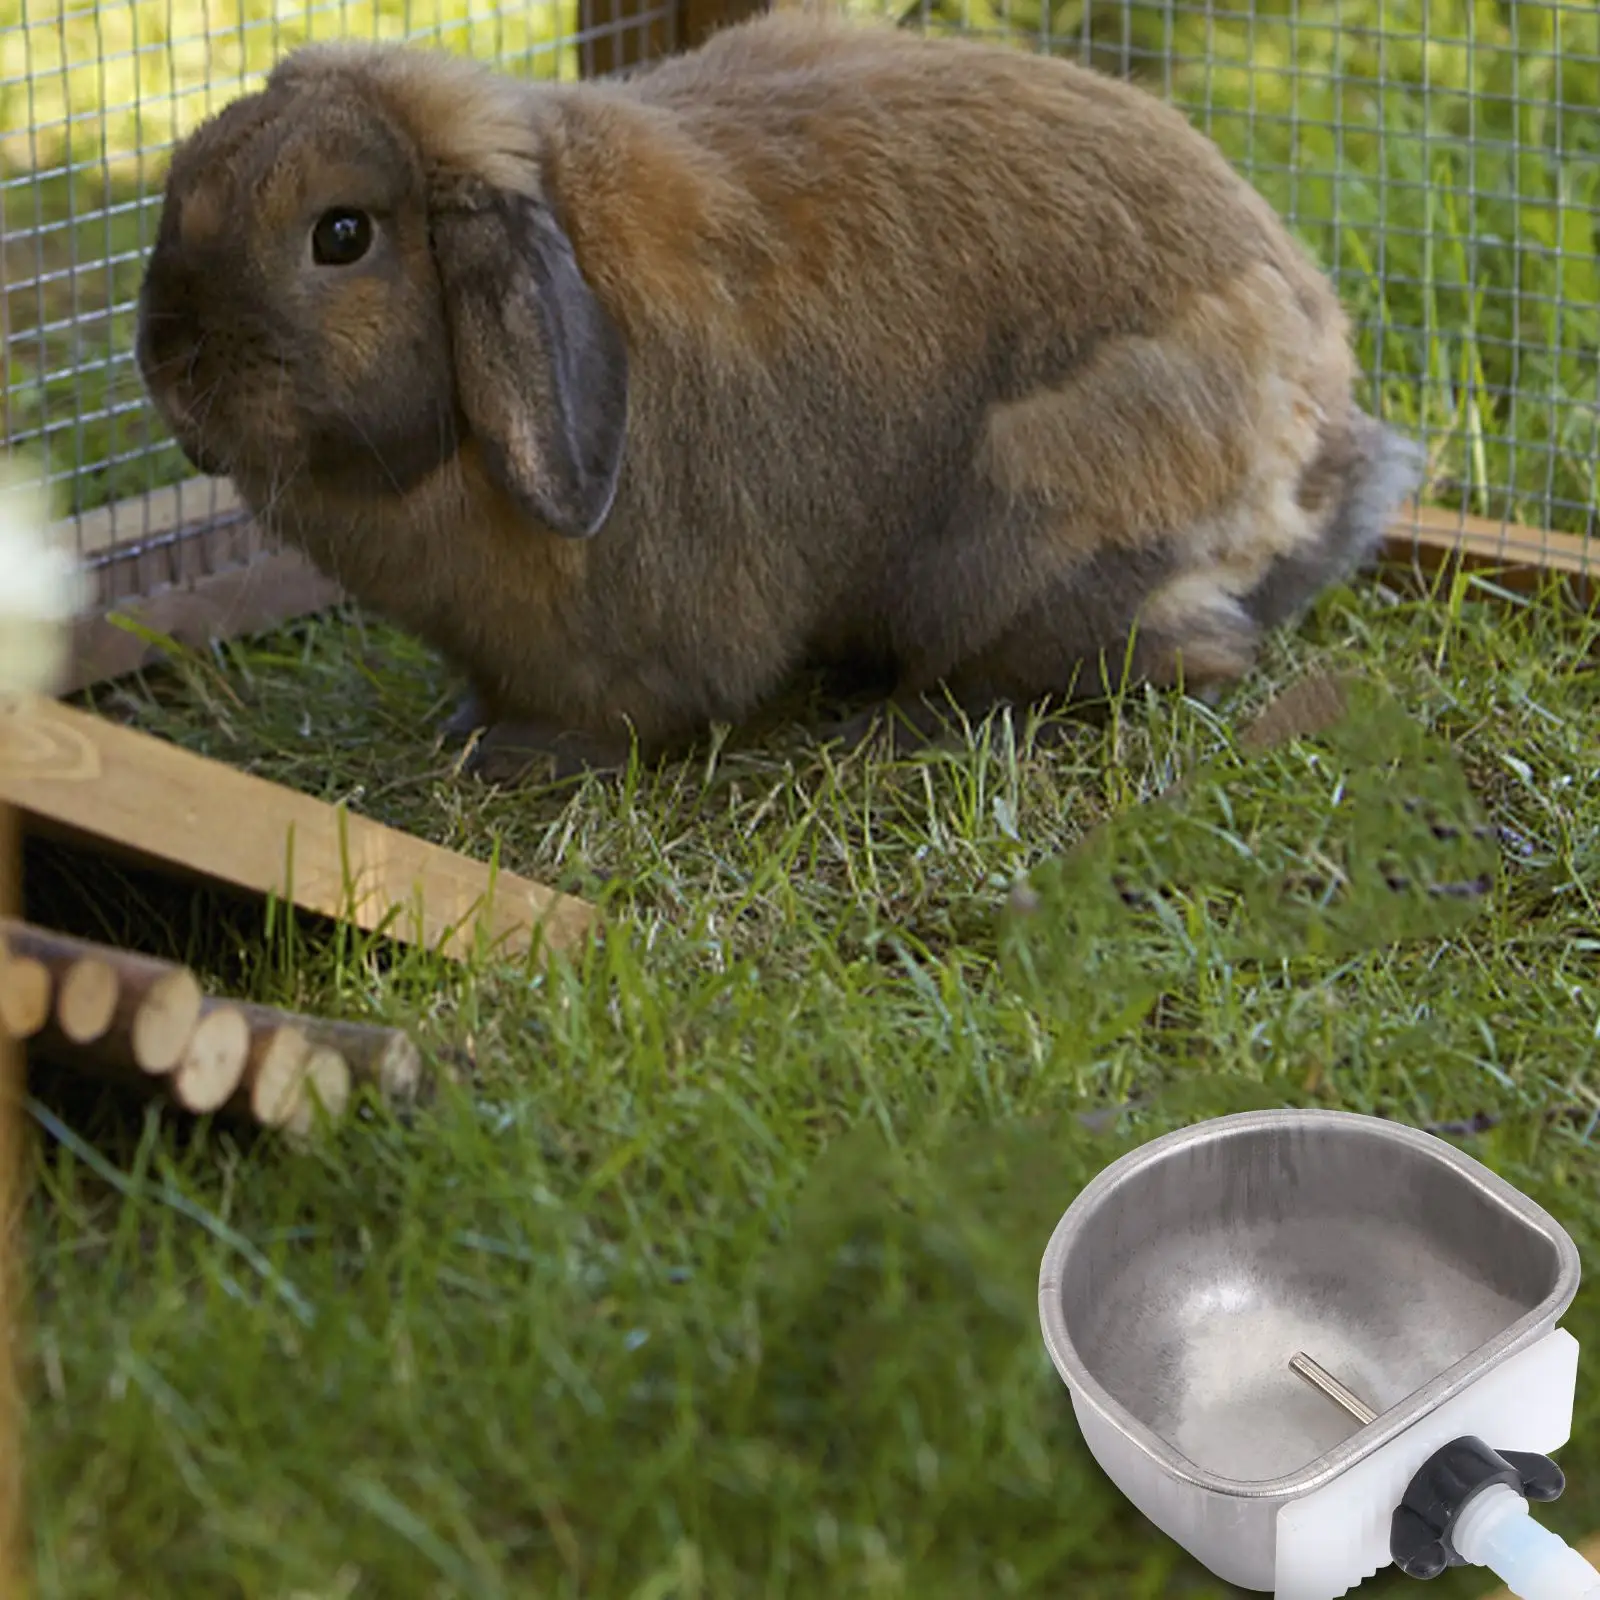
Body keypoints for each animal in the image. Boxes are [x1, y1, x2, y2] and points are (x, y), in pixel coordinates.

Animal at [134, 9, 1423, 783]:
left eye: (341, 235)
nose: (167, 364)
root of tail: (1319, 434)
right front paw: (464, 725)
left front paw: (514, 752)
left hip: (1029, 527)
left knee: (1185, 652)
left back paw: (907, 720)